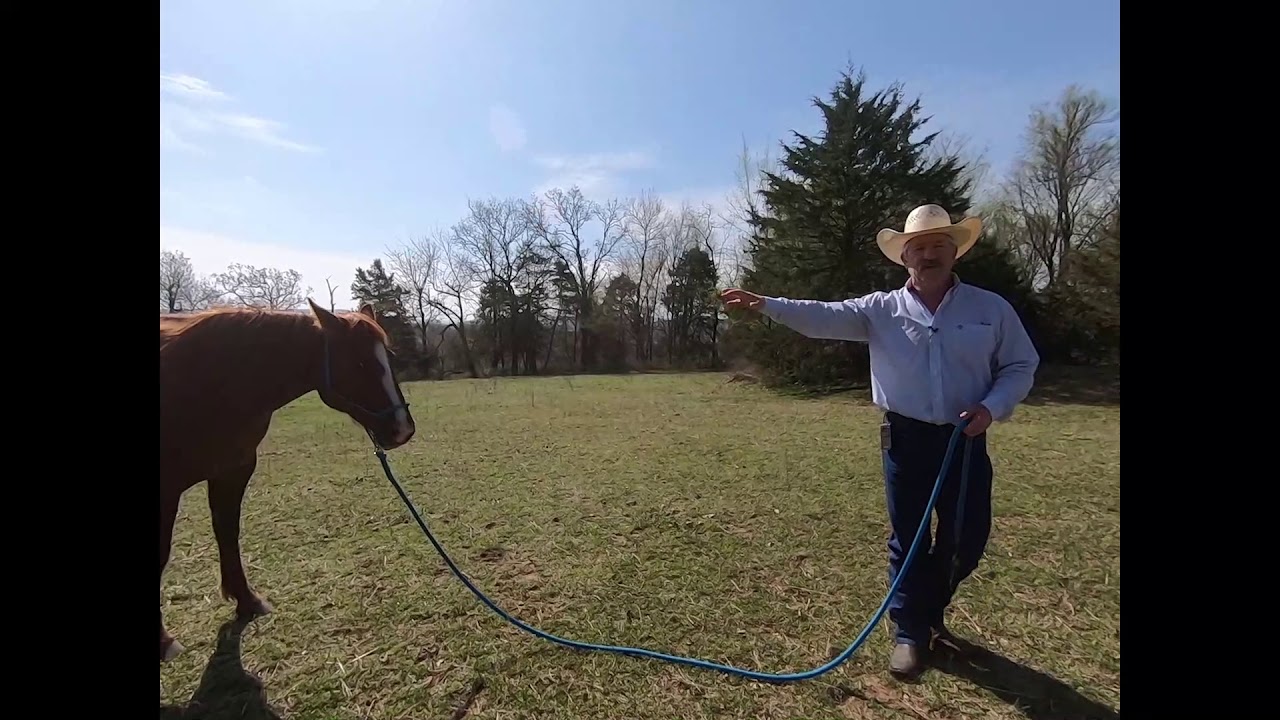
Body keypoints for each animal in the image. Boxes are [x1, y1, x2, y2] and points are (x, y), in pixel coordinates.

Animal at [159, 299, 417, 662]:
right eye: (360, 361)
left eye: (389, 357)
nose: (402, 428)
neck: (210, 380)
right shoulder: (167, 489)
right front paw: (163, 641)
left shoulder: (232, 470)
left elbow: (228, 532)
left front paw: (247, 600)